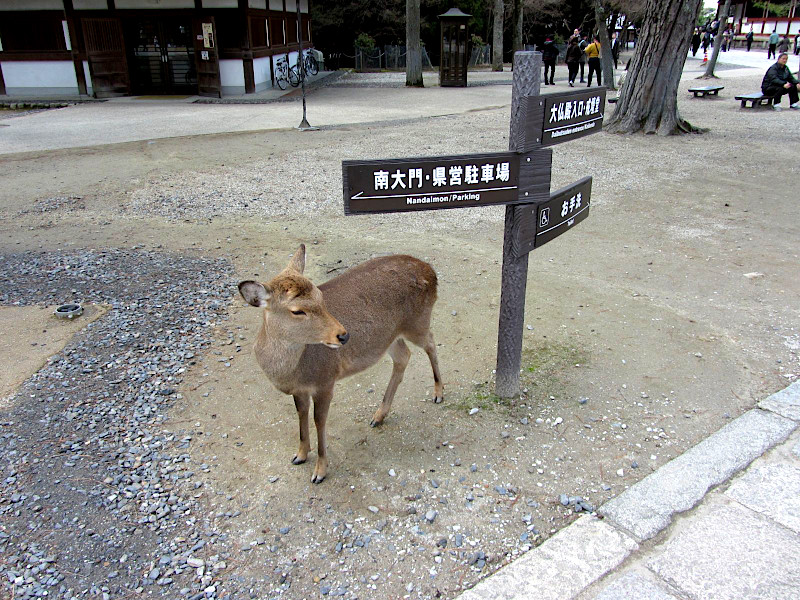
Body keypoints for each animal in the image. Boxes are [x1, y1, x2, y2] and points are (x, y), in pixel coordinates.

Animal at [241, 244, 446, 482]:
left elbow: (319, 420)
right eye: (297, 310)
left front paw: (319, 471)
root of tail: (431, 271)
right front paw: (300, 455)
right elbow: (301, 414)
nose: (343, 335)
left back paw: (438, 393)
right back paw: (379, 415)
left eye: (321, 297)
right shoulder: (299, 389)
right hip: (388, 338)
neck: (291, 372)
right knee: (404, 356)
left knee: (431, 342)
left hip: (417, 322)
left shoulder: (325, 381)